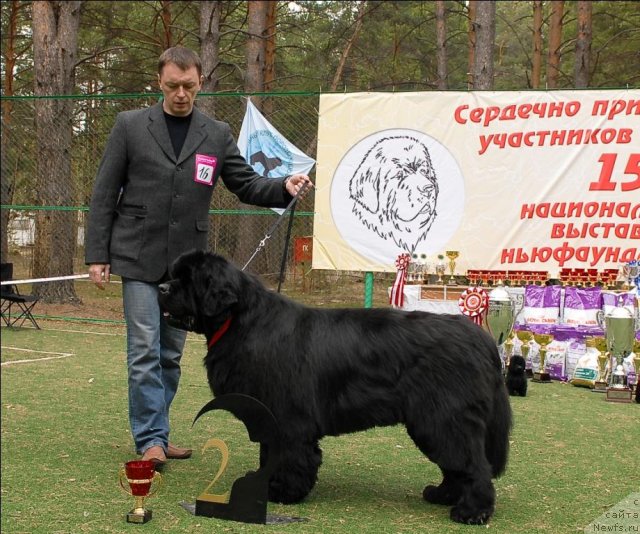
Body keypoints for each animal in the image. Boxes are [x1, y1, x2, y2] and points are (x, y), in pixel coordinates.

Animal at [160, 252, 516, 528]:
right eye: (173, 275)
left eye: (188, 279)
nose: (161, 287)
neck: (240, 321)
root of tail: (482, 339)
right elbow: (269, 454)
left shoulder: (289, 419)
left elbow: (290, 456)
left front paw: (283, 492)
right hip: (436, 422)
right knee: (457, 464)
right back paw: (442, 495)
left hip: (442, 418)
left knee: (474, 465)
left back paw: (472, 512)